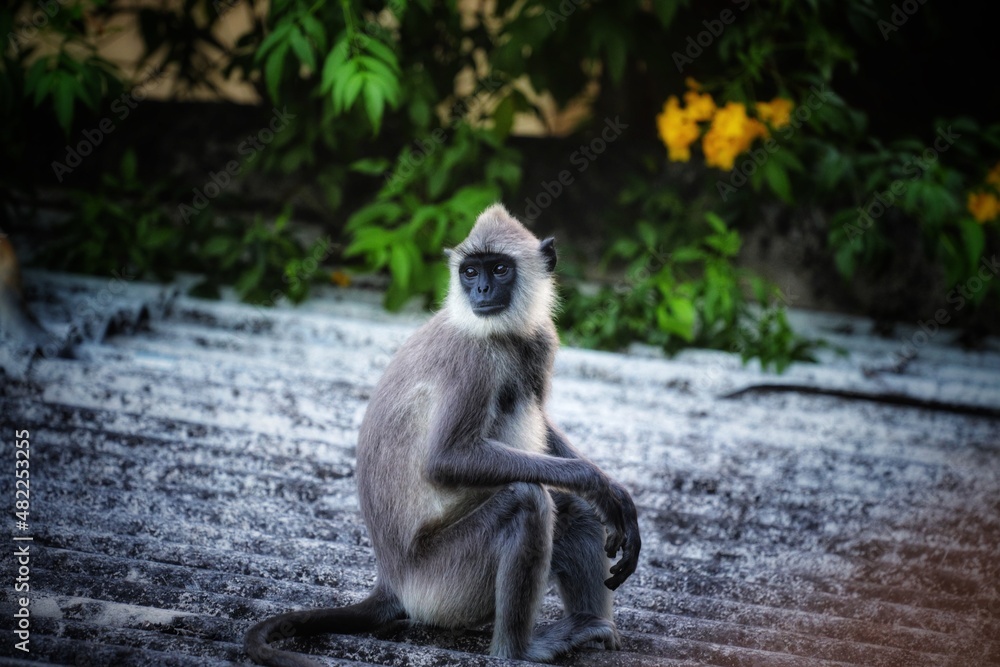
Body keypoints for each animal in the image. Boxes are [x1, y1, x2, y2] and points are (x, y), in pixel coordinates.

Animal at [245, 204, 641, 666]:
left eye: (499, 268)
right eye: (470, 271)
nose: (481, 289)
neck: (500, 333)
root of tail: (393, 581)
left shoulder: (540, 340)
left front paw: (612, 489)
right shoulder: (471, 357)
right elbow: (445, 460)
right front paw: (593, 480)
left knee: (575, 511)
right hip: (441, 585)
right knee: (527, 499)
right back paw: (520, 649)